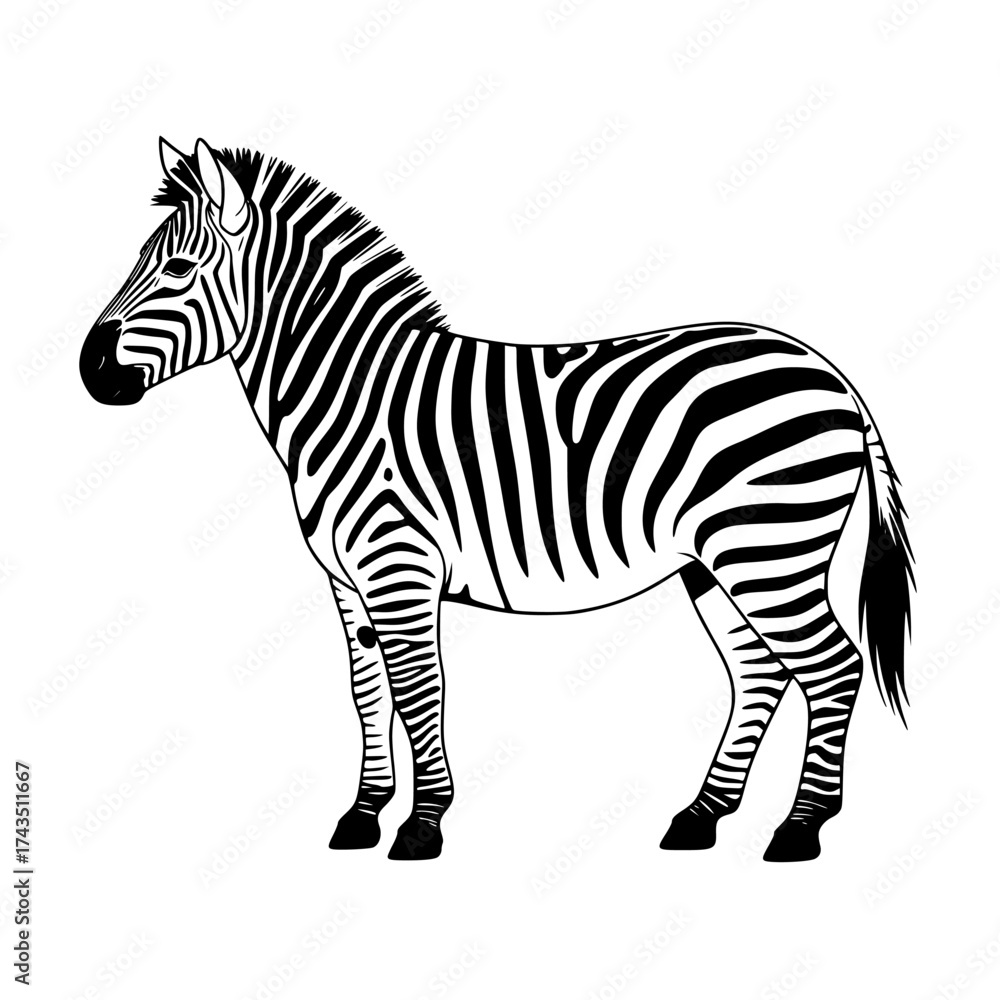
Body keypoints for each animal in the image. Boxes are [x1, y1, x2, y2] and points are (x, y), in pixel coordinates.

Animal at [80, 138, 914, 862]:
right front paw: (363, 814)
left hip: (767, 546)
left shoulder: (399, 566)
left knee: (832, 667)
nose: (90, 370)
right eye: (142, 259)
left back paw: (799, 829)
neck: (349, 397)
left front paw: (421, 826)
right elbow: (365, 693)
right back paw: (701, 816)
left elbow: (419, 691)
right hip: (720, 562)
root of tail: (830, 373)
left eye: (177, 267)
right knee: (761, 674)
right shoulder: (347, 582)